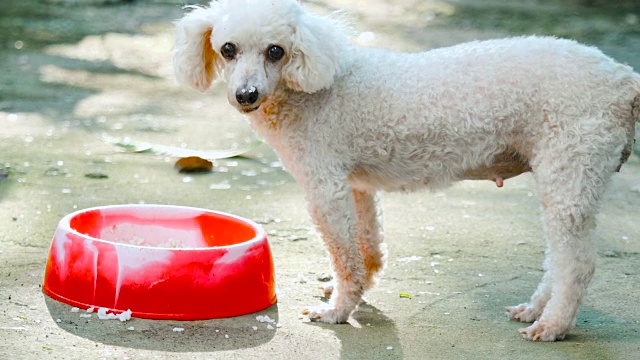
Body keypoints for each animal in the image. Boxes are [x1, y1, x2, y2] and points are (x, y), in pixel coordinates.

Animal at [174, 0, 640, 342]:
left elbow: (343, 254)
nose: (246, 95)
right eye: (228, 49)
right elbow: (365, 248)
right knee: (558, 259)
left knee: (577, 264)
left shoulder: (325, 188)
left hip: (572, 171)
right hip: (563, 178)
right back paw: (535, 310)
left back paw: (553, 326)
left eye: (276, 51)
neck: (313, 88)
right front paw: (354, 291)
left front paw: (337, 310)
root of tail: (624, 79)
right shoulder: (355, 186)